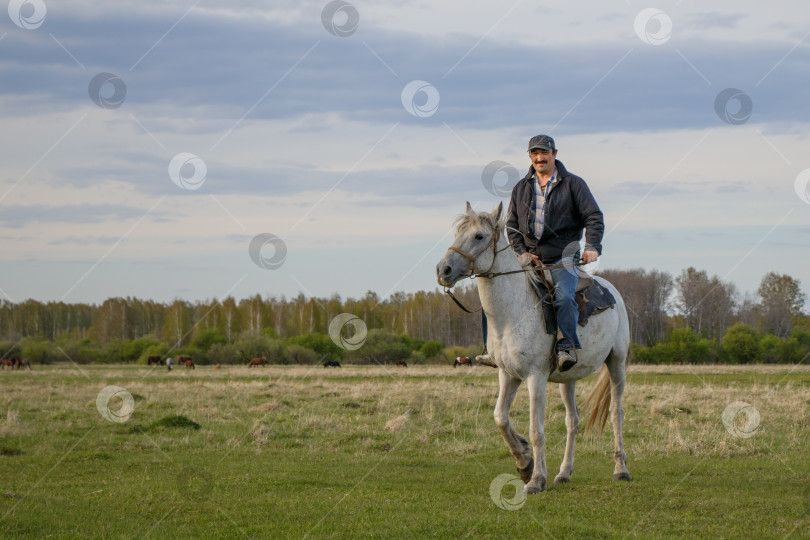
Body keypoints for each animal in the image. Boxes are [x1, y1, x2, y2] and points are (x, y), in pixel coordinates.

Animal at [436, 202, 632, 494]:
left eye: (479, 236)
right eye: (458, 232)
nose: (443, 270)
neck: (513, 312)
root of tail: (612, 291)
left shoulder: (535, 377)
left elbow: (536, 430)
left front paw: (536, 479)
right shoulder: (508, 375)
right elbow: (500, 417)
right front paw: (524, 462)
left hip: (616, 363)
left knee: (615, 413)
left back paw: (620, 469)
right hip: (568, 378)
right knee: (572, 421)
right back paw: (564, 473)